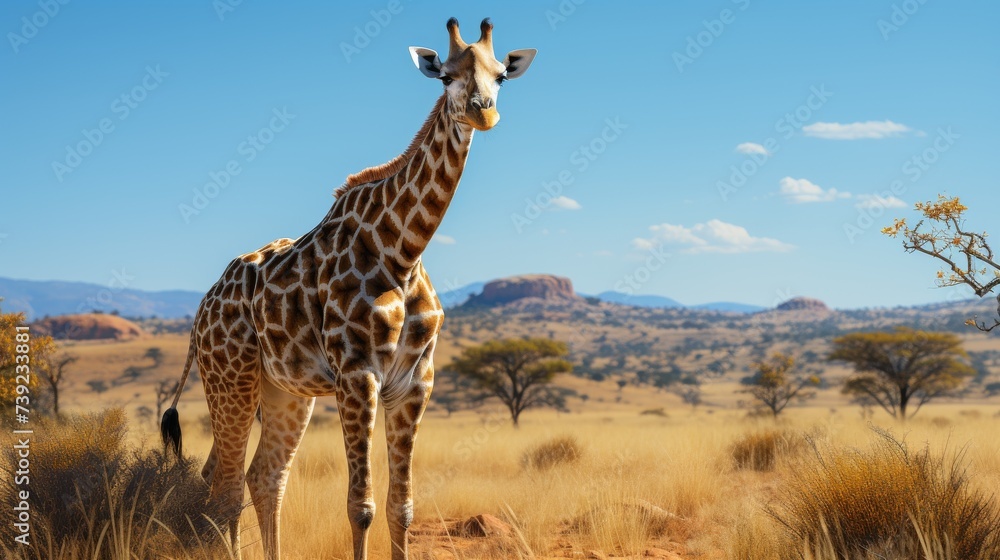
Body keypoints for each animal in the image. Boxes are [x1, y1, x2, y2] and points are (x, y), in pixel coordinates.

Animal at [160, 17, 535, 560]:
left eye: (501, 75)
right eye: (444, 76)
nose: (482, 111)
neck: (403, 251)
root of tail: (199, 315)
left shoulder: (415, 383)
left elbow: (402, 509)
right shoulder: (358, 375)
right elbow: (361, 507)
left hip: (283, 390)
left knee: (261, 477)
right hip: (230, 378)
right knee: (224, 485)